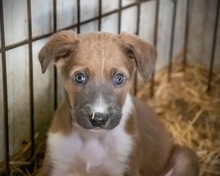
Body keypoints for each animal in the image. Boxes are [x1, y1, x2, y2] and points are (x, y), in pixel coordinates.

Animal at [37, 30, 199, 176]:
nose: (98, 119)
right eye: (79, 77)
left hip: (184, 158)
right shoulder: (55, 165)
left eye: (119, 78)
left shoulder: (127, 167)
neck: (93, 138)